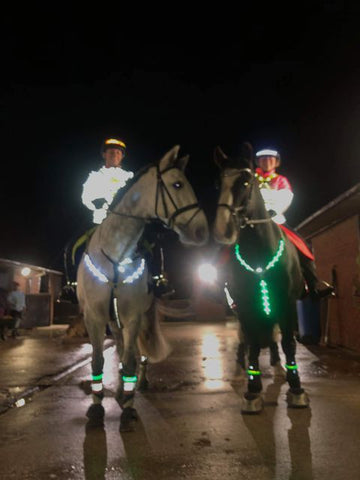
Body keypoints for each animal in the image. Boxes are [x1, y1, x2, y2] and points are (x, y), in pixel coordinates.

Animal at [77, 145, 210, 428]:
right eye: (178, 184)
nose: (201, 231)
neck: (116, 254)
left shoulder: (133, 316)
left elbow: (129, 361)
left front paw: (128, 408)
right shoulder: (94, 317)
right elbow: (97, 362)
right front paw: (96, 407)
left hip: (143, 315)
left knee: (140, 353)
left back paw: (139, 384)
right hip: (114, 321)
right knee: (118, 348)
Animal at [214, 143, 310, 412]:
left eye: (246, 181)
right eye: (219, 183)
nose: (222, 230)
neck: (259, 251)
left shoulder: (286, 303)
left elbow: (288, 343)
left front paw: (296, 387)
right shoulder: (246, 305)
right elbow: (253, 343)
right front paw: (252, 388)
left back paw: (278, 368)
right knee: (244, 341)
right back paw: (239, 372)